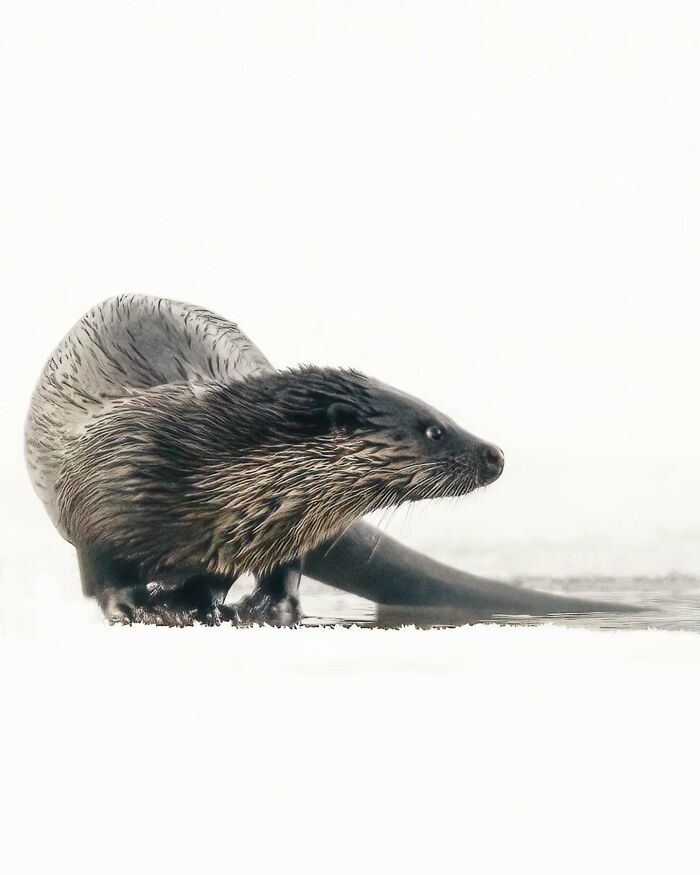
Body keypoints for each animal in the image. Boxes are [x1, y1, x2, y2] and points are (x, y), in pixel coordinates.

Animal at [26, 295, 627, 625]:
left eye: (443, 416)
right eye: (434, 429)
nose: (494, 453)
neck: (190, 464)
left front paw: (204, 605)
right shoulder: (95, 497)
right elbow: (101, 575)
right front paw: (139, 609)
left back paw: (251, 607)